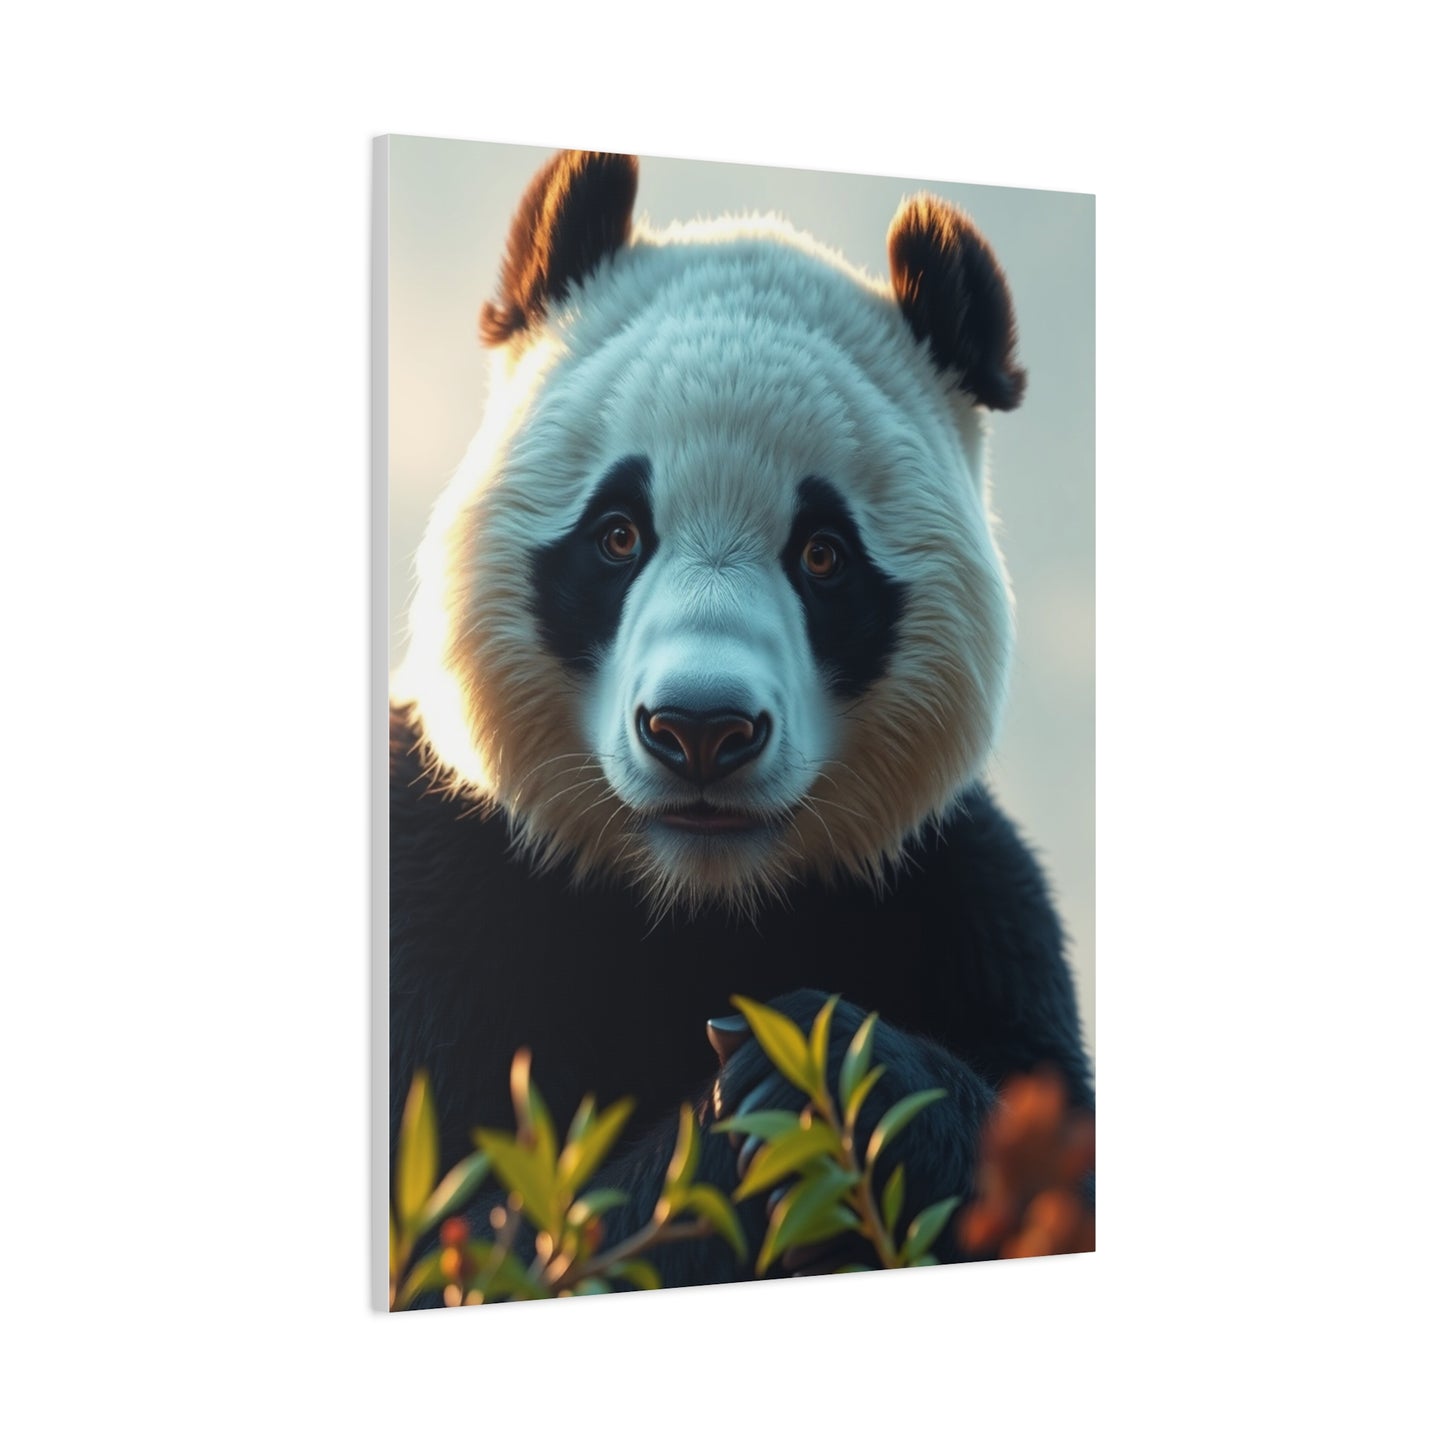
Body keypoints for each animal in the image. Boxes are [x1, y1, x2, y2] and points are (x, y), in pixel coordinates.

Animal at [391, 149, 1092, 1289]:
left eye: (822, 554)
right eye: (617, 534)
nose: (700, 731)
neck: (696, 899)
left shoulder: (961, 898)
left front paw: (812, 1065)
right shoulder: (443, 879)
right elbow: (480, 1228)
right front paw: (746, 1114)